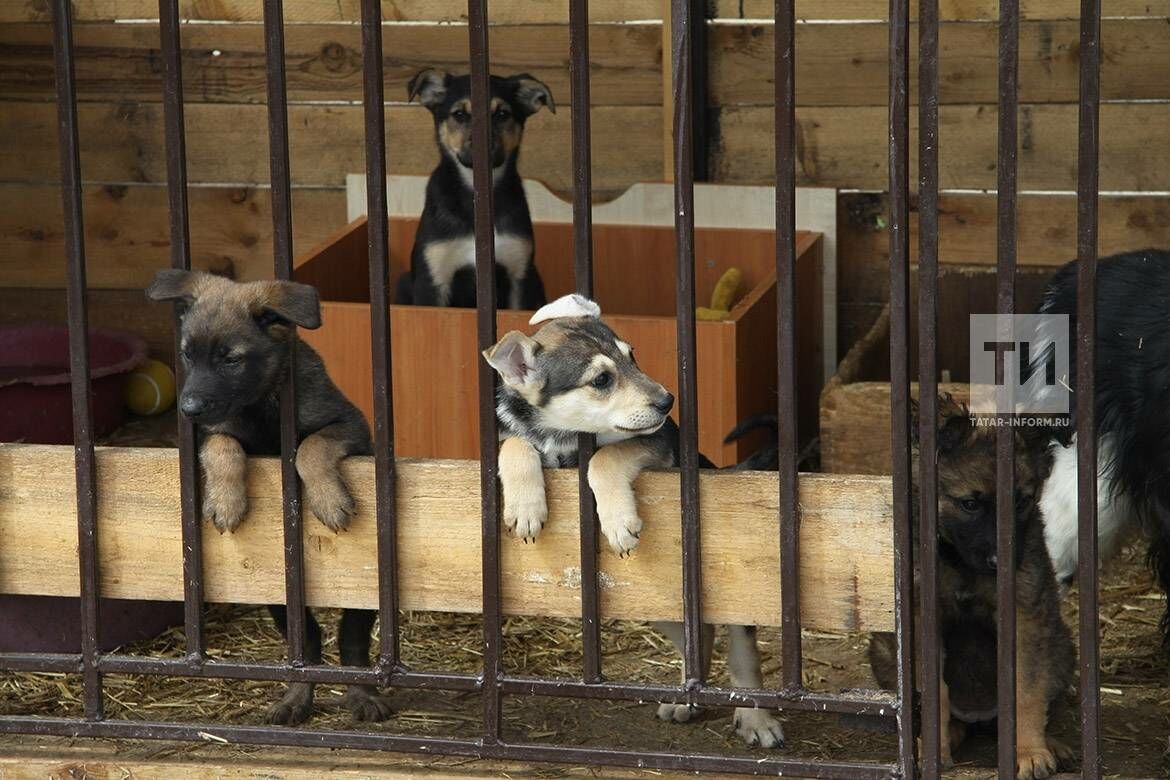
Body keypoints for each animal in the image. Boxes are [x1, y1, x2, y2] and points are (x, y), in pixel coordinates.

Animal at [146, 271, 390, 729]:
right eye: (187, 355)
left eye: (230, 360)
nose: (188, 408)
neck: (260, 405)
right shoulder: (211, 433)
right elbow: (222, 445)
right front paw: (226, 501)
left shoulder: (350, 425)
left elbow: (310, 447)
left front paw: (328, 499)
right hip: (277, 593)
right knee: (306, 644)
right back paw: (296, 697)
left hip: (364, 588)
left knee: (351, 641)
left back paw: (362, 694)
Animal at [397, 67, 552, 311]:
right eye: (459, 114)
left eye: (502, 114)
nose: (483, 145)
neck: (476, 195)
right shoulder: (433, 279)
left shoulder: (520, 276)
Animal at [479, 295, 790, 748]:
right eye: (601, 380)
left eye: (633, 357)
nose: (667, 401)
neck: (563, 438)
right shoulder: (512, 439)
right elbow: (515, 443)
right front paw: (525, 507)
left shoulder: (657, 442)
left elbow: (606, 457)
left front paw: (619, 522)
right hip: (657, 605)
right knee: (699, 638)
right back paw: (687, 698)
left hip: (735, 590)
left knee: (742, 651)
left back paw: (757, 719)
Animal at [865, 399, 1071, 776]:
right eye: (970, 504)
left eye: (1022, 501)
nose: (1000, 562)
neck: (961, 563)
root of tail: (980, 716)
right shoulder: (925, 619)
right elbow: (937, 693)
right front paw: (934, 749)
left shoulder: (1025, 616)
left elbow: (1027, 689)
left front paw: (1030, 752)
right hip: (886, 652)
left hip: (1061, 645)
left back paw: (1051, 742)